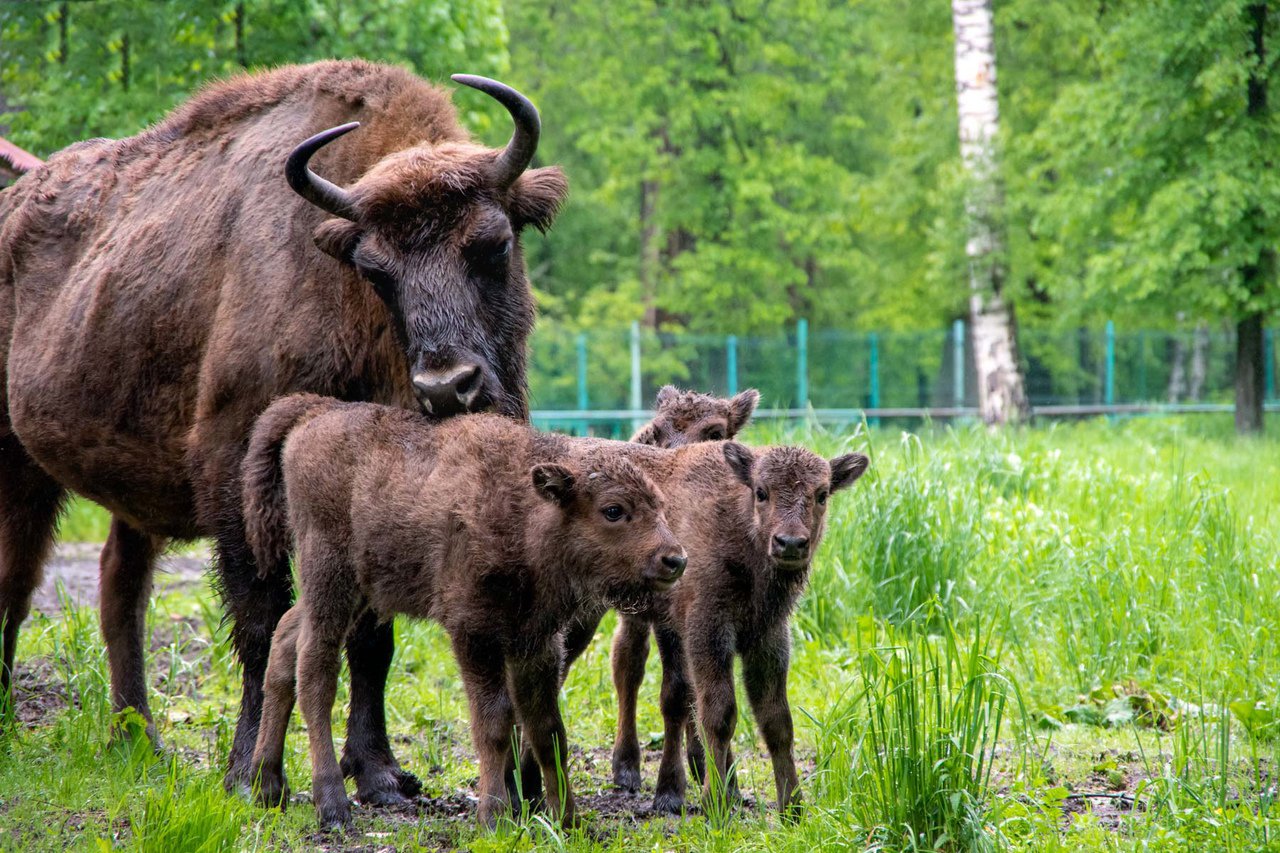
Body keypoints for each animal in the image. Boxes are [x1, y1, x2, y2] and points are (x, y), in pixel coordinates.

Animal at [0, 59, 565, 799]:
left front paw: (380, 772)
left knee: (119, 588)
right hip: (15, 463)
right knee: (16, 585)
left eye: (494, 243)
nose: (448, 386)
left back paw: (140, 740)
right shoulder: (237, 479)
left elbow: (372, 636)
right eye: (375, 269)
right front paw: (247, 771)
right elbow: (261, 622)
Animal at [238, 394, 680, 824]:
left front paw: (569, 820)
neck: (525, 509)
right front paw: (495, 816)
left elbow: (548, 728)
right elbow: (495, 722)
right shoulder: (474, 633)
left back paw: (267, 786)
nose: (675, 559)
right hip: (329, 576)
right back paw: (331, 806)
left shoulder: (536, 642)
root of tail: (316, 412)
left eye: (660, 504)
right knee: (316, 669)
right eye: (613, 510)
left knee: (285, 642)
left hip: (356, 591)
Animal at [611, 438, 870, 809]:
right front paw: (712, 802)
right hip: (640, 616)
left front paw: (792, 806)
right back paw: (638, 774)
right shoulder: (707, 629)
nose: (790, 543)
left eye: (822, 494)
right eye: (761, 492)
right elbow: (720, 715)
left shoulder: (768, 637)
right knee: (630, 670)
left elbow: (776, 720)